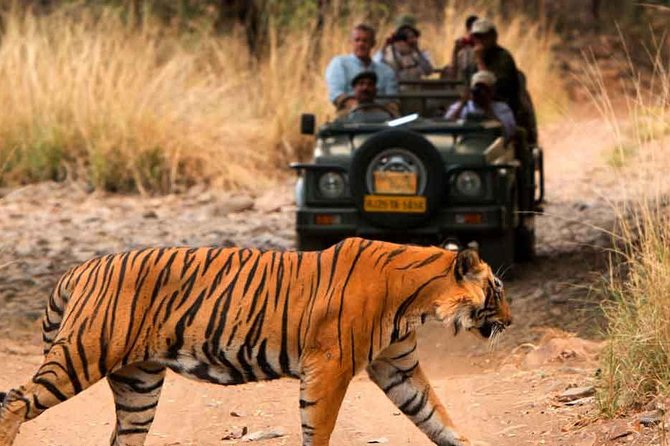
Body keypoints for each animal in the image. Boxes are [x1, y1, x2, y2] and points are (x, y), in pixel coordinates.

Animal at [0, 237, 511, 446]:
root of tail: (79, 267)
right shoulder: (329, 365)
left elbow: (434, 415)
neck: (417, 299)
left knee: (122, 436)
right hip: (81, 354)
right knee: (16, 399)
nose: (510, 320)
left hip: (139, 384)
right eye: (498, 290)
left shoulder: (397, 365)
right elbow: (317, 428)